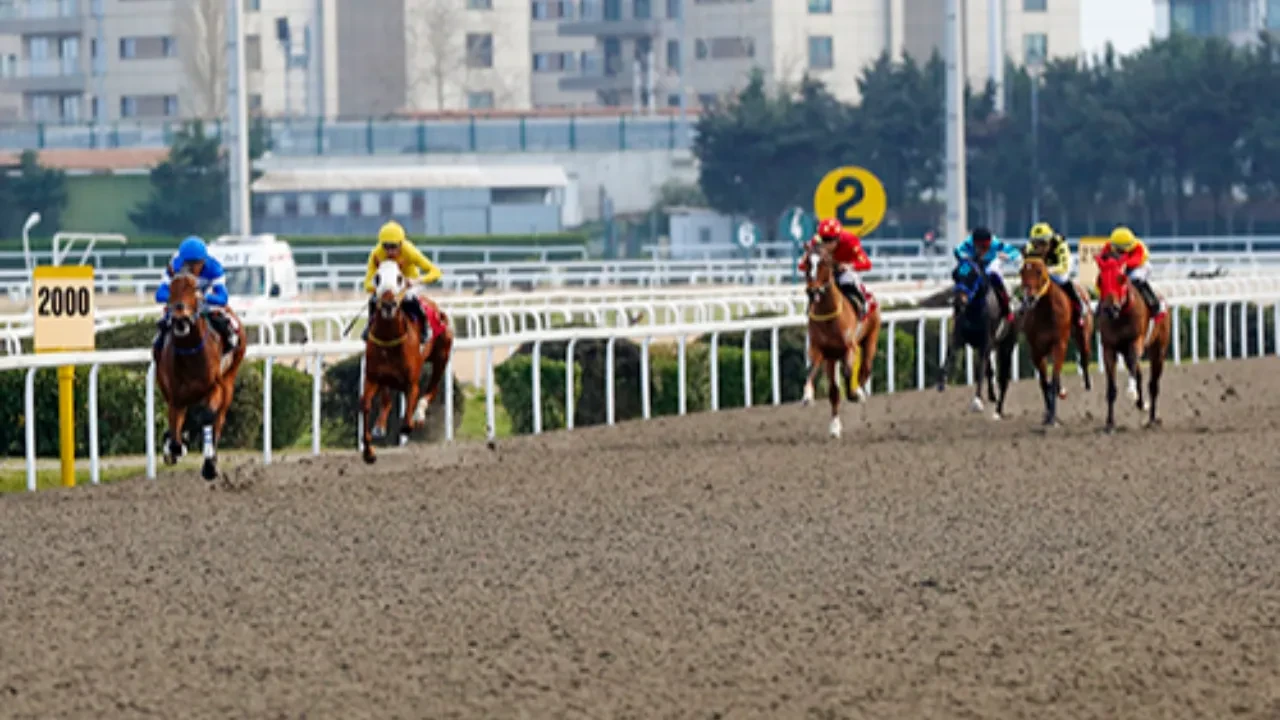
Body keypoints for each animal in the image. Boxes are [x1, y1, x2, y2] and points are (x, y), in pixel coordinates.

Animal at [153, 271, 248, 479]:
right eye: (171, 289)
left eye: (196, 290)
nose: (180, 319)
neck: (191, 354)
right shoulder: (175, 396)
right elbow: (175, 433)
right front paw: (173, 447)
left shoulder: (215, 387)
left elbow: (207, 416)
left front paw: (209, 463)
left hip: (229, 381)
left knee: (218, 418)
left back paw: (210, 461)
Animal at [360, 256, 455, 458]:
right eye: (377, 278)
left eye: (399, 278)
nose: (388, 305)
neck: (389, 339)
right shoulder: (373, 376)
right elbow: (366, 404)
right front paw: (369, 448)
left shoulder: (412, 382)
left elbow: (408, 413)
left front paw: (408, 424)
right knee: (387, 397)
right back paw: (381, 425)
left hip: (442, 356)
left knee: (433, 387)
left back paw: (419, 414)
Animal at [798, 245, 880, 438]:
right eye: (807, 262)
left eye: (824, 262)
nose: (812, 291)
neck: (829, 316)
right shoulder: (819, 350)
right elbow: (812, 372)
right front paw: (808, 395)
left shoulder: (849, 348)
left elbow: (850, 375)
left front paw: (856, 394)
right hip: (832, 359)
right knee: (834, 391)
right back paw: (835, 426)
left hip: (870, 340)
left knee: (864, 370)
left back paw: (861, 396)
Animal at [1013, 256, 1095, 422]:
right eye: (1021, 271)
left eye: (1039, 271)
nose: (1029, 298)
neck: (1046, 311)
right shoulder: (1036, 350)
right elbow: (1044, 382)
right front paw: (1049, 413)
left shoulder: (1059, 344)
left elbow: (1055, 376)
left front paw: (1052, 417)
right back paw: (1061, 392)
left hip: (1083, 335)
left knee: (1084, 360)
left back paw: (1087, 389)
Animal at [1090, 252, 1172, 430]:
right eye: (1100, 280)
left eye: (1121, 278)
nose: (1110, 309)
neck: (1120, 315)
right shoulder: (1109, 348)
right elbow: (1111, 388)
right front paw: (1110, 423)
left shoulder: (1135, 342)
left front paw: (1131, 391)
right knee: (1139, 374)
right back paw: (1142, 404)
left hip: (1159, 349)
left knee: (1153, 384)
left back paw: (1152, 418)